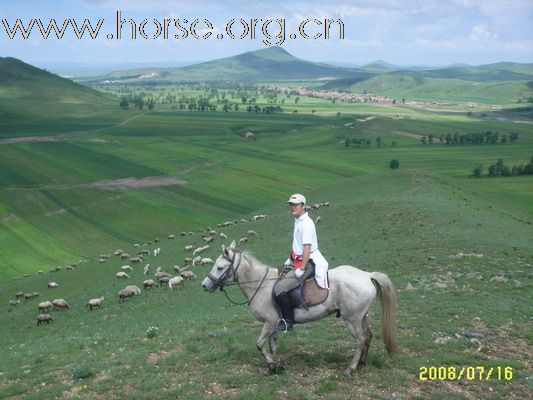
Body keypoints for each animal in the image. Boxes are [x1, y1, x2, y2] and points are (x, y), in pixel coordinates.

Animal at [202, 241, 396, 376]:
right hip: (361, 317)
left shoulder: (269, 323)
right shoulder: (273, 325)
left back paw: (351, 368)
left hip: (352, 320)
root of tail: (367, 275)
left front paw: (272, 364)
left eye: (220, 267)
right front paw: (277, 364)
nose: (205, 285)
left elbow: (259, 345)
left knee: (361, 340)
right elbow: (272, 346)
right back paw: (362, 363)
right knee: (368, 336)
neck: (261, 284)